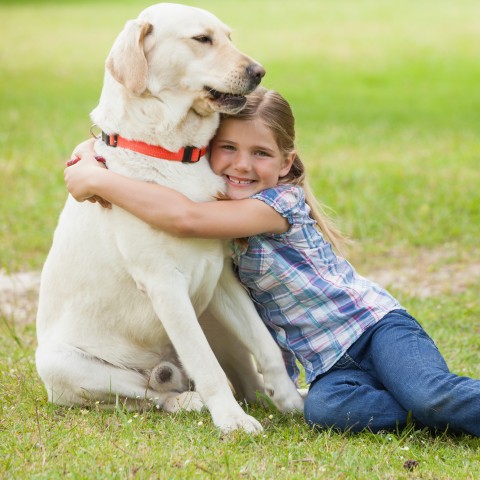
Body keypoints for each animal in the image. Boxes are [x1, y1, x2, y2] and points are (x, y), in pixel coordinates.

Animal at [35, 0, 302, 436]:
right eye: (202, 39)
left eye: (229, 36)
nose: (259, 71)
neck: (174, 153)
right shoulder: (164, 284)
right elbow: (206, 366)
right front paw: (231, 420)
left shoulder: (220, 275)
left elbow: (265, 345)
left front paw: (291, 400)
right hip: (63, 365)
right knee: (148, 396)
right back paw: (187, 401)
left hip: (210, 313)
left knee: (238, 377)